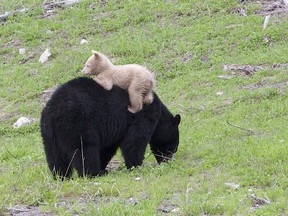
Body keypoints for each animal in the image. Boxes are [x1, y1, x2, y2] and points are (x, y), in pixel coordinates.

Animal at [40, 77, 180, 179]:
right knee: (85, 149)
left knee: (55, 155)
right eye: (174, 146)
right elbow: (135, 140)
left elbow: (108, 148)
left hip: (49, 133)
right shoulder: (143, 115)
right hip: (78, 123)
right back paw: (94, 173)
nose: (167, 160)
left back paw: (61, 176)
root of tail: (54, 110)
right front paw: (136, 165)